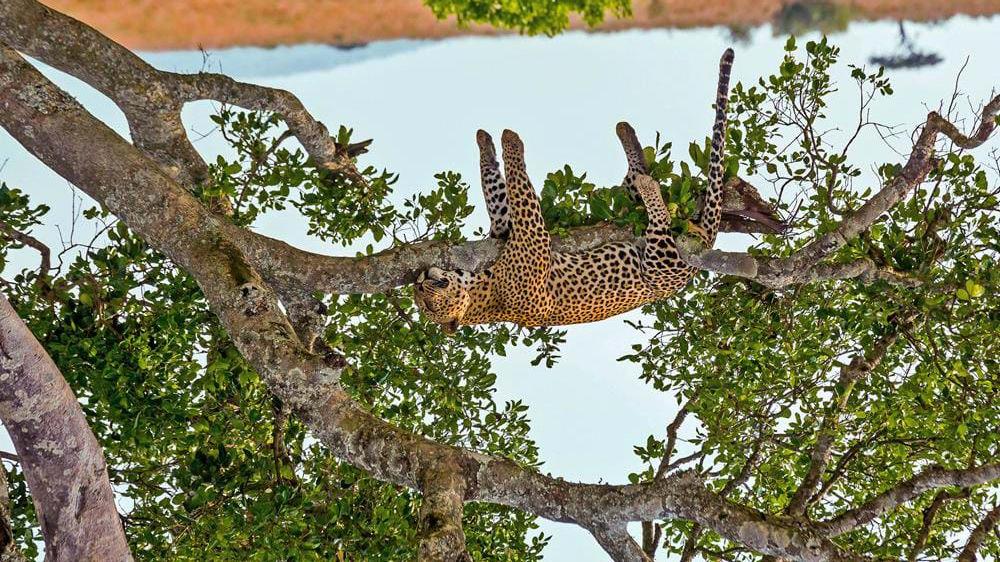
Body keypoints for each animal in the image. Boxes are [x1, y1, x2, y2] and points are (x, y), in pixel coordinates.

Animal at [414, 48, 736, 330]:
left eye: (423, 299)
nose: (420, 281)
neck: (484, 293)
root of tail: (705, 241)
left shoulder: (504, 228)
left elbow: (497, 191)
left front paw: (486, 143)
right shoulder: (530, 237)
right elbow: (519, 187)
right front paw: (510, 140)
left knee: (633, 181)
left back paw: (627, 135)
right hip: (662, 262)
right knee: (660, 219)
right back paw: (648, 185)